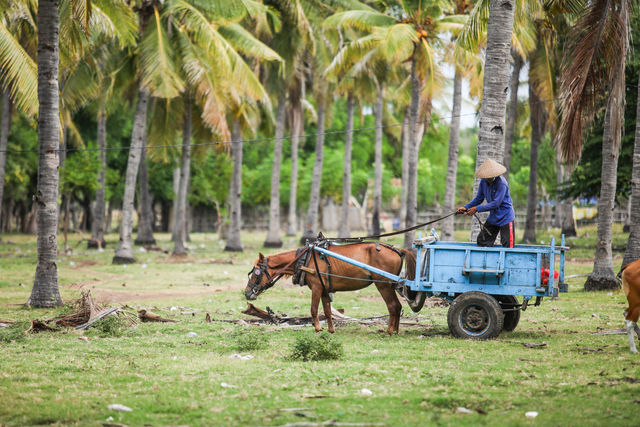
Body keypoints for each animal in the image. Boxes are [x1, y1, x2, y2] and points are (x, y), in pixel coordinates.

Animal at [244, 242, 416, 336]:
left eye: (256, 272)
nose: (247, 292)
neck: (305, 258)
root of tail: (397, 250)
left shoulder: (316, 287)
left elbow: (314, 309)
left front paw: (318, 329)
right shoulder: (325, 289)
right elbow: (327, 311)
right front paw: (331, 330)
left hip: (383, 285)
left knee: (393, 306)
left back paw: (390, 331)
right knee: (397, 306)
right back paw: (396, 330)